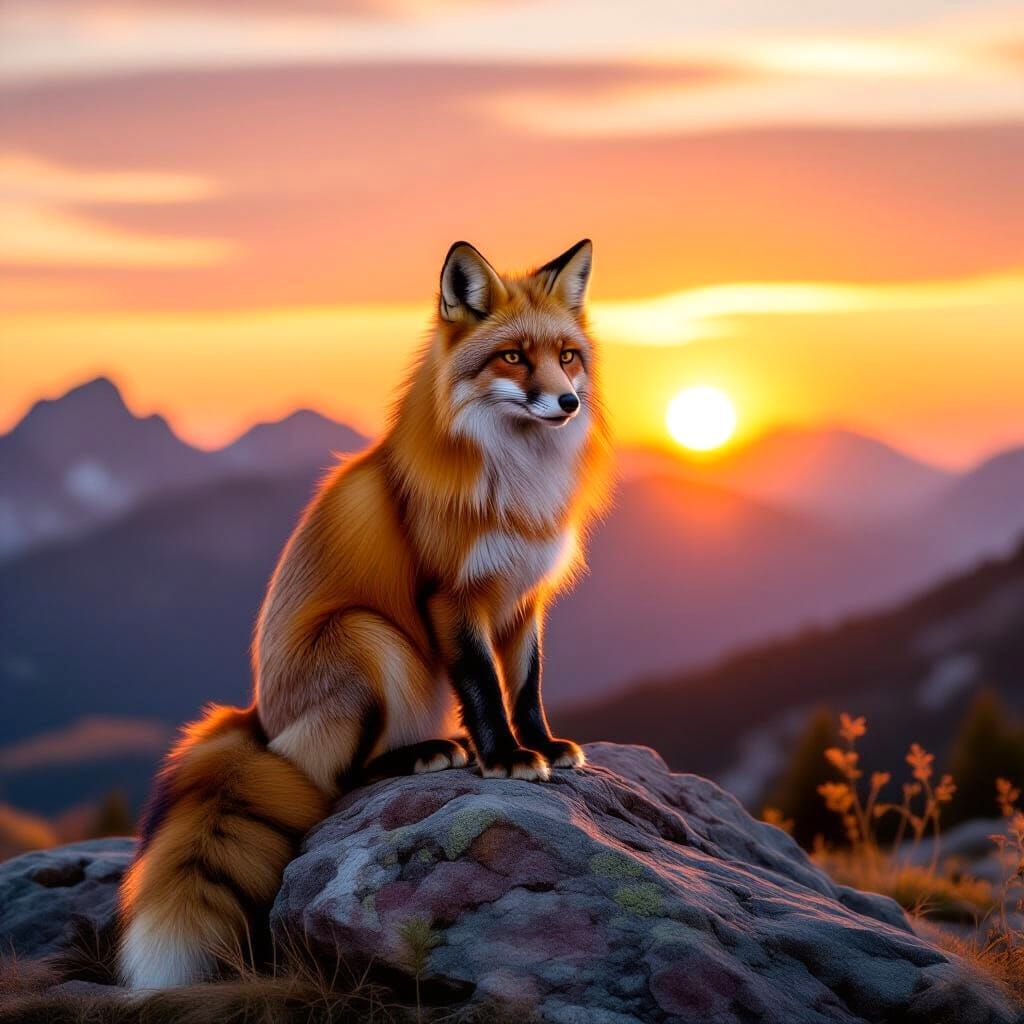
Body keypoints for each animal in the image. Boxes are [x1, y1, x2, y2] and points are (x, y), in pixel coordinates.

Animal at [116, 238, 612, 989]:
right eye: (513, 357)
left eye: (568, 356)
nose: (568, 400)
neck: (518, 484)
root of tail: (258, 718)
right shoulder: (450, 594)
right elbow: (483, 687)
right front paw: (503, 758)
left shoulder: (523, 599)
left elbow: (526, 687)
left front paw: (543, 745)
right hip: (369, 636)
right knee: (334, 781)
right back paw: (427, 754)